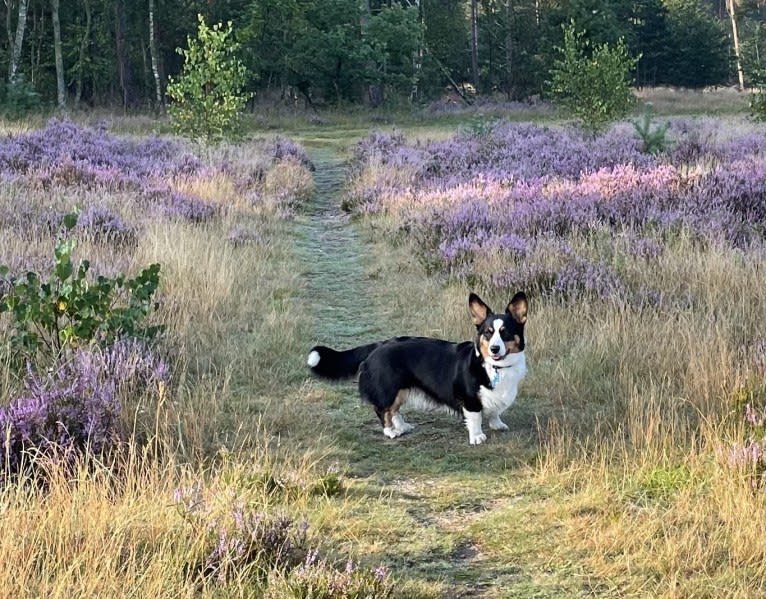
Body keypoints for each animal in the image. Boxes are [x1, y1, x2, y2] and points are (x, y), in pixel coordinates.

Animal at [306, 292, 528, 442]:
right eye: (488, 333)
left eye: (506, 333)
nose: (494, 349)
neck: (496, 367)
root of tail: (378, 345)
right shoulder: (470, 399)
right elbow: (475, 418)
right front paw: (477, 437)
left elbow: (495, 411)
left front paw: (497, 424)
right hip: (388, 388)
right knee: (382, 410)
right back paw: (391, 432)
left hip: (401, 389)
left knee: (393, 410)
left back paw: (403, 426)